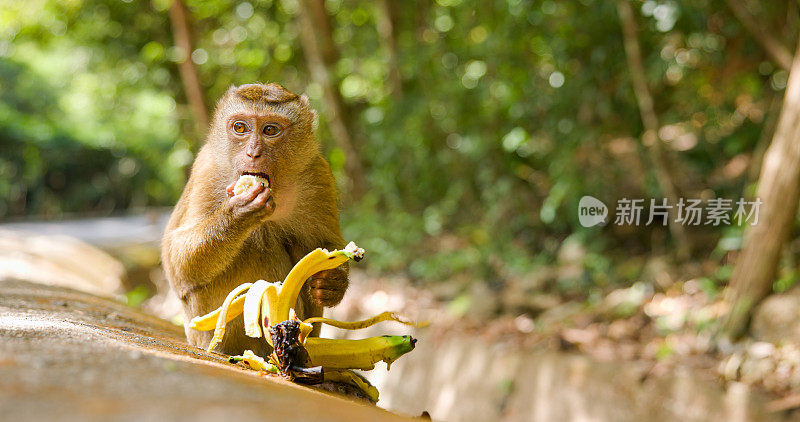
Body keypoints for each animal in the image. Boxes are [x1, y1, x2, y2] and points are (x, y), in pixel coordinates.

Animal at [161, 82, 348, 356]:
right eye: (240, 128)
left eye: (270, 130)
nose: (253, 153)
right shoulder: (206, 169)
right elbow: (178, 264)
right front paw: (237, 214)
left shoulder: (318, 174)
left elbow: (326, 243)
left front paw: (333, 282)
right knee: (259, 244)